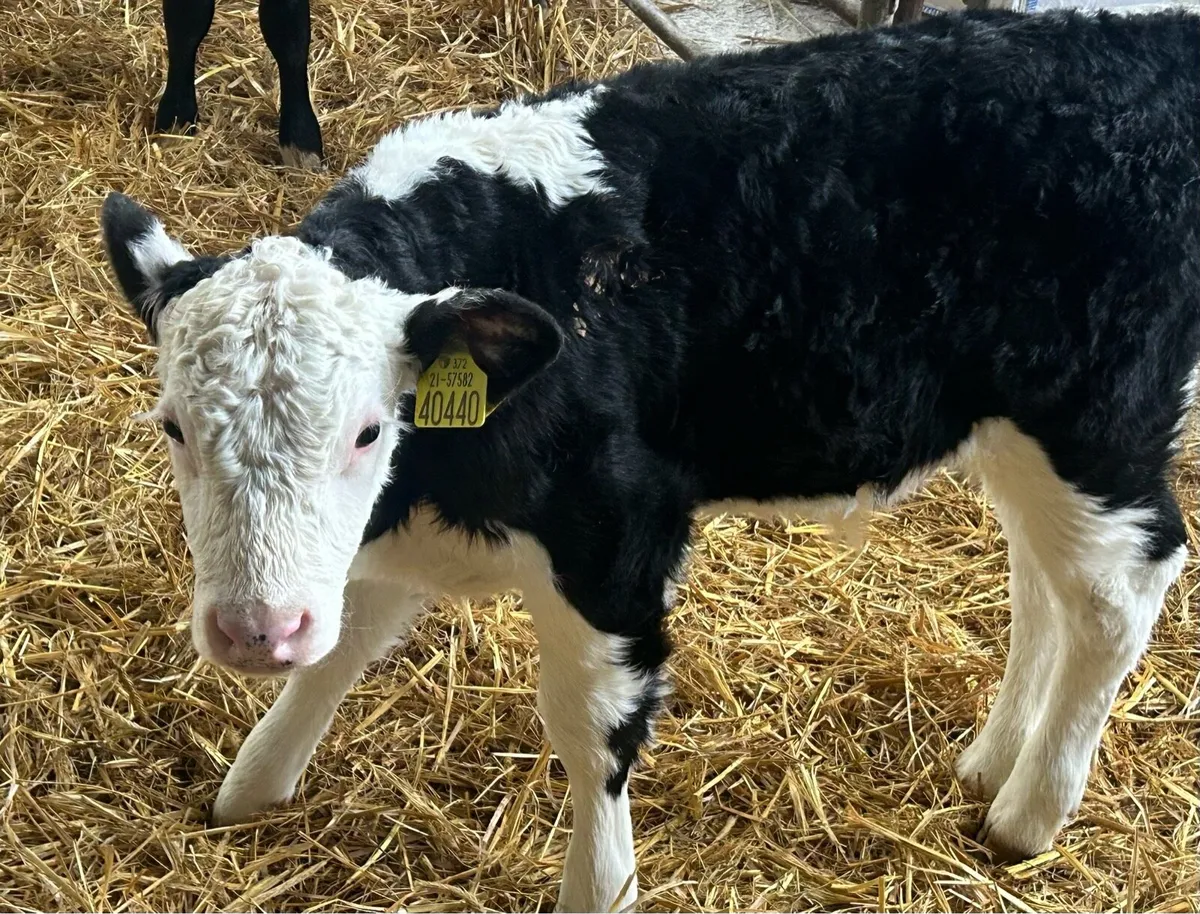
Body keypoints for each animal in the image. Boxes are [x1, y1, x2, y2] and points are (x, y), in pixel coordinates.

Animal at [101, 11, 1200, 910]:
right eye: (173, 428)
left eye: (371, 428)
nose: (254, 631)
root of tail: (1143, 41)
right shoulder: (397, 531)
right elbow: (344, 644)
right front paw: (252, 786)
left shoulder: (617, 534)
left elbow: (591, 726)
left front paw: (600, 885)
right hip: (1015, 434)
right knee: (1040, 583)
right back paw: (992, 760)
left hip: (1098, 418)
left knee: (1120, 592)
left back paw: (1030, 811)